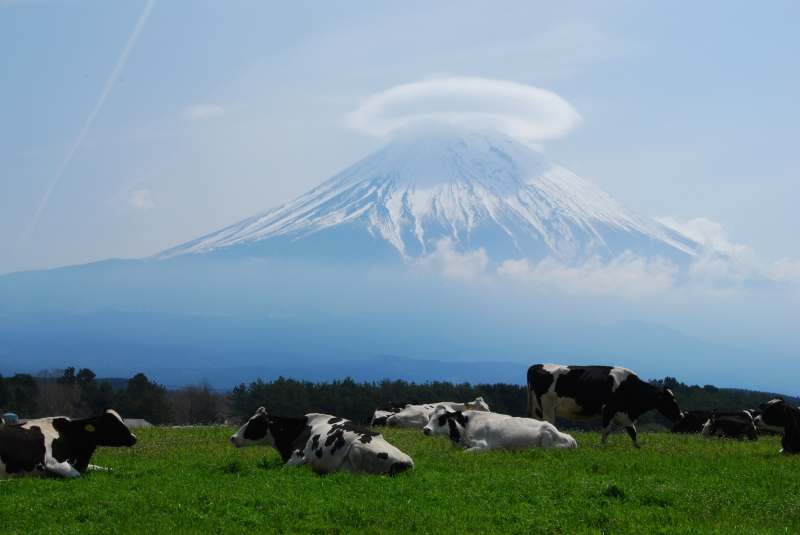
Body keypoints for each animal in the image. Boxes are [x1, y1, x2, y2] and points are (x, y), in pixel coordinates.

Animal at [0, 408, 138, 480]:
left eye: (123, 420)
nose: (134, 438)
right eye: (112, 424)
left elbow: (109, 468)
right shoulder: (54, 462)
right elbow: (77, 475)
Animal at [231, 408, 416, 476]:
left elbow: (279, 469)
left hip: (356, 449)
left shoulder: (297, 457)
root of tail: (408, 461)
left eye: (253, 423)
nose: (232, 437)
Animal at [422, 406, 580, 452]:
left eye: (442, 417)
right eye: (429, 416)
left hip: (547, 438)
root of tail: (572, 440)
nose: (426, 429)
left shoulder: (483, 446)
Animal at [524, 364, 680, 448]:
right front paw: (603, 447)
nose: (680, 415)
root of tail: (536, 366)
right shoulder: (609, 411)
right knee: (549, 422)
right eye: (668, 400)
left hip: (538, 408)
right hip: (548, 406)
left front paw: (638, 448)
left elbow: (633, 433)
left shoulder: (625, 415)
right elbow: (606, 431)